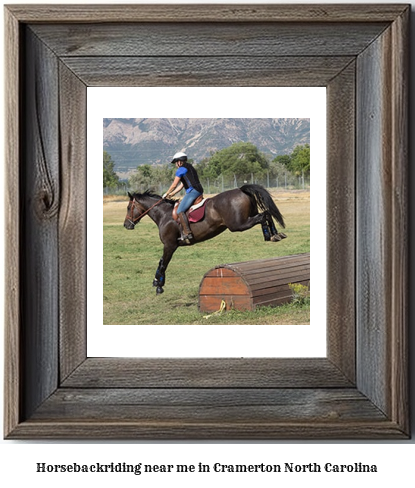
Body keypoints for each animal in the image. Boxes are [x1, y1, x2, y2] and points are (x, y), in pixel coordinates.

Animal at [123, 184, 286, 294]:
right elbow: (161, 262)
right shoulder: (169, 245)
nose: (126, 225)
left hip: (238, 224)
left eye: (128, 207)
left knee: (264, 216)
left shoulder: (170, 245)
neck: (163, 214)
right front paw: (156, 280)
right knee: (266, 214)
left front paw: (159, 286)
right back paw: (273, 234)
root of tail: (240, 189)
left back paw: (271, 234)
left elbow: (164, 263)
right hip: (248, 216)